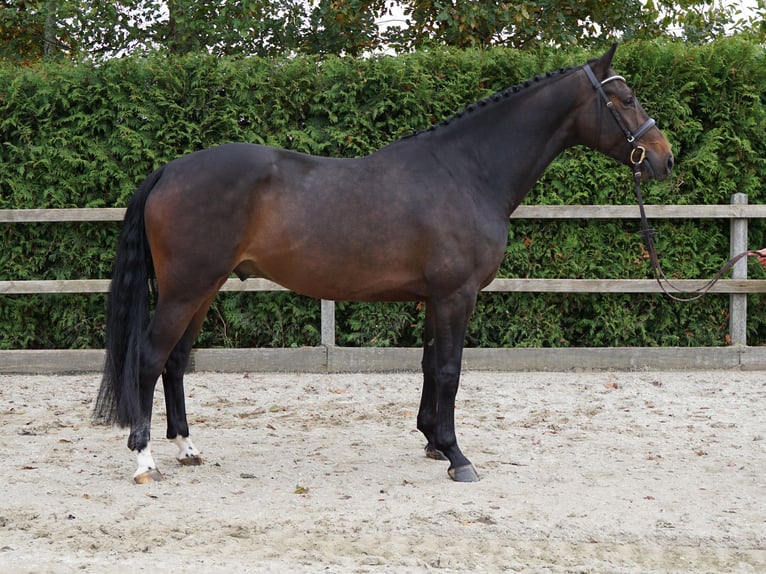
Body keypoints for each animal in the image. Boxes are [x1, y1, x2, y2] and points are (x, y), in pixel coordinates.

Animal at [94, 44, 673, 484]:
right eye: (626, 98)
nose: (665, 158)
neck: (468, 171)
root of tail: (170, 170)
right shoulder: (456, 295)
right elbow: (450, 370)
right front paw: (458, 457)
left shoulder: (433, 297)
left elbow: (429, 366)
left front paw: (433, 442)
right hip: (186, 289)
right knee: (149, 359)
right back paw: (144, 458)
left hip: (203, 289)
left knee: (174, 362)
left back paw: (187, 448)